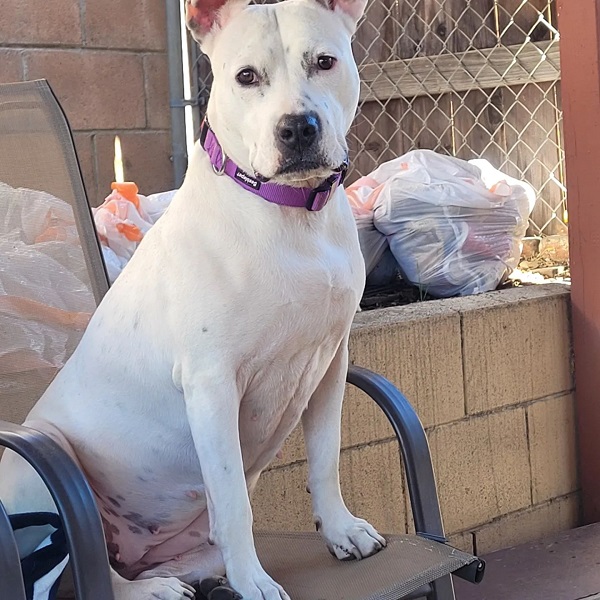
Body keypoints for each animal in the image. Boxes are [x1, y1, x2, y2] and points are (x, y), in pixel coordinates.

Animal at [0, 0, 384, 596]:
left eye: (324, 62)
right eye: (246, 76)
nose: (297, 127)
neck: (290, 215)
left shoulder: (328, 365)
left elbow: (325, 460)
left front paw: (341, 530)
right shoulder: (212, 386)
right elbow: (234, 502)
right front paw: (254, 581)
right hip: (37, 469)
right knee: (77, 574)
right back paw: (153, 588)